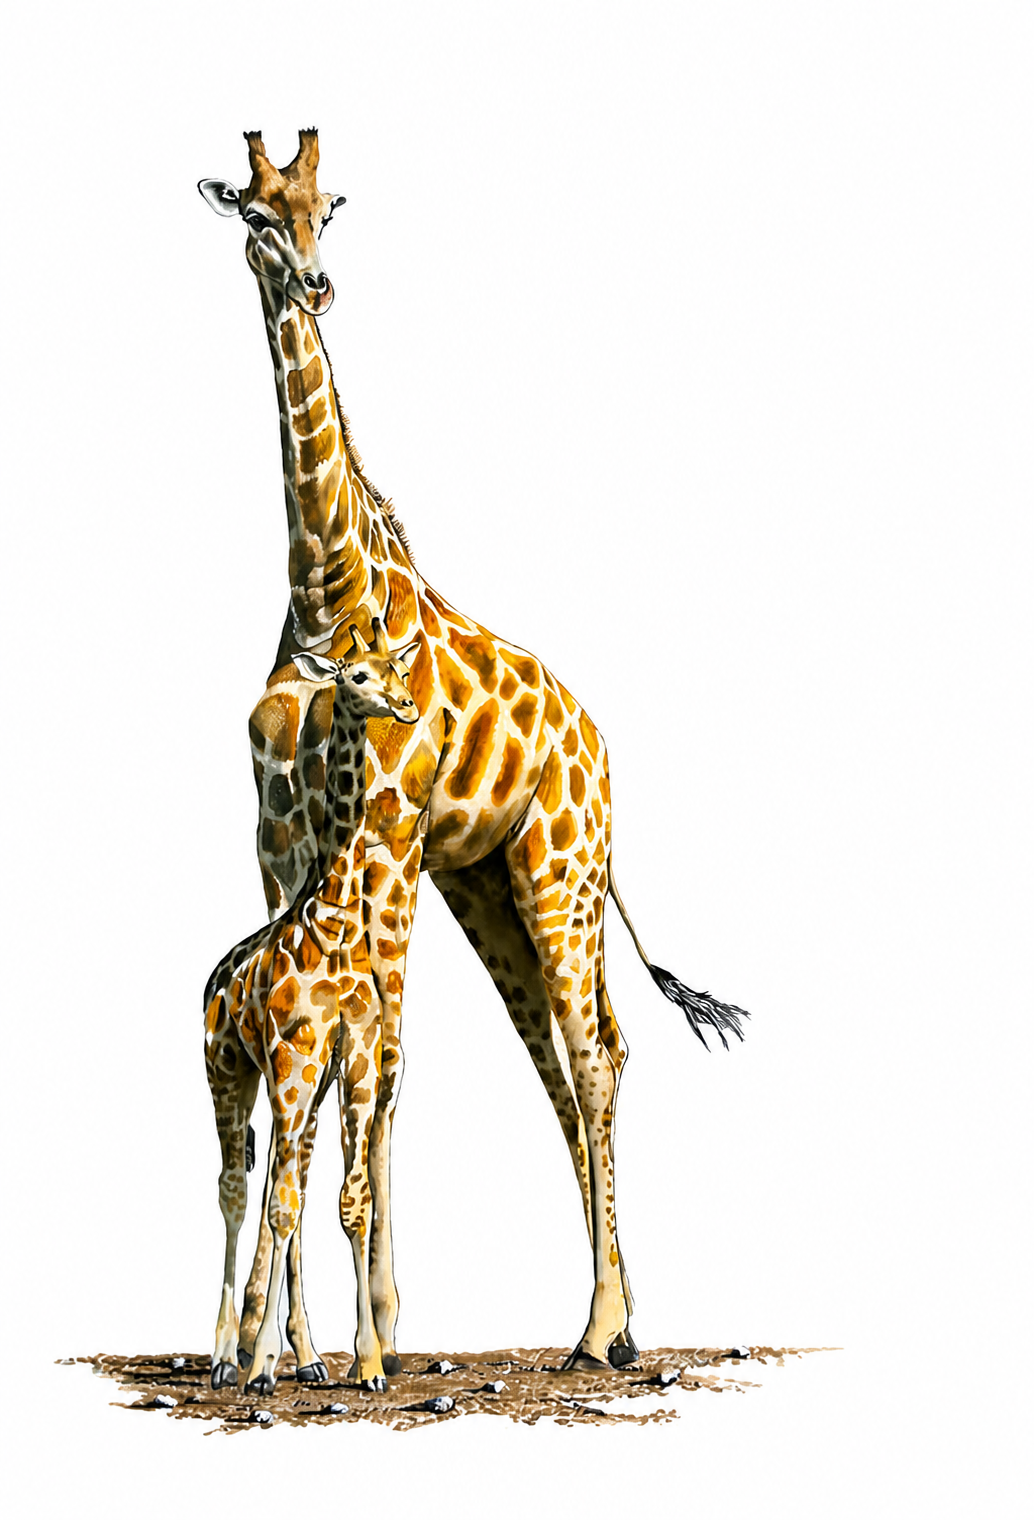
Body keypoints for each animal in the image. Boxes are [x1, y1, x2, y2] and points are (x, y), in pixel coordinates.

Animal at [204, 623, 419, 1394]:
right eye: (357, 674)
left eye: (395, 668)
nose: (406, 706)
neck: (333, 917)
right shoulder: (295, 1055)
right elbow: (280, 1206)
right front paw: (259, 1364)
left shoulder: (351, 1054)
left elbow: (349, 1202)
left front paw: (370, 1363)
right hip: (231, 1075)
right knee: (239, 1190)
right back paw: (227, 1358)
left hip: (298, 1090)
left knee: (281, 1181)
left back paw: (305, 1357)